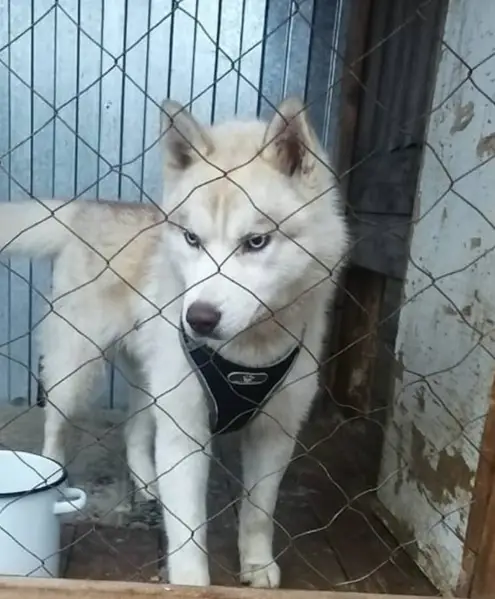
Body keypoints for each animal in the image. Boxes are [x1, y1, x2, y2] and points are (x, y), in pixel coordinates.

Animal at [0, 97, 349, 588]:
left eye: (256, 241)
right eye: (192, 238)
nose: (198, 318)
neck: (246, 353)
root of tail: (89, 208)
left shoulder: (275, 430)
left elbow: (258, 513)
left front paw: (257, 564)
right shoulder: (186, 432)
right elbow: (188, 530)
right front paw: (191, 584)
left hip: (154, 380)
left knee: (135, 430)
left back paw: (148, 482)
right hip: (77, 370)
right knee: (56, 427)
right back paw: (51, 481)